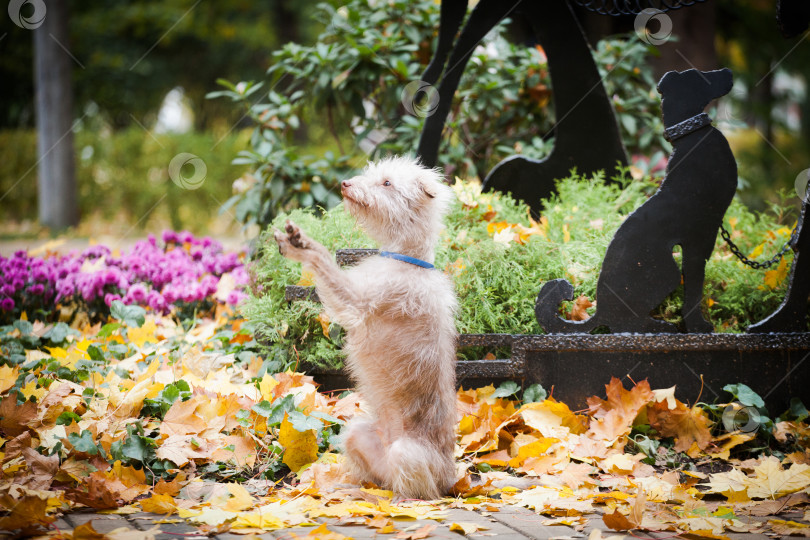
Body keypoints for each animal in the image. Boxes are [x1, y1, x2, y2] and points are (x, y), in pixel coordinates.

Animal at [274, 155, 458, 498]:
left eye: (387, 183)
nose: (345, 183)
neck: (407, 260)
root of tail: (451, 479)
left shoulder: (355, 300)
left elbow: (324, 263)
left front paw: (302, 245)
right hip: (355, 433)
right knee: (373, 477)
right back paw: (350, 489)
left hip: (406, 455)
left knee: (419, 491)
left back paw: (399, 500)